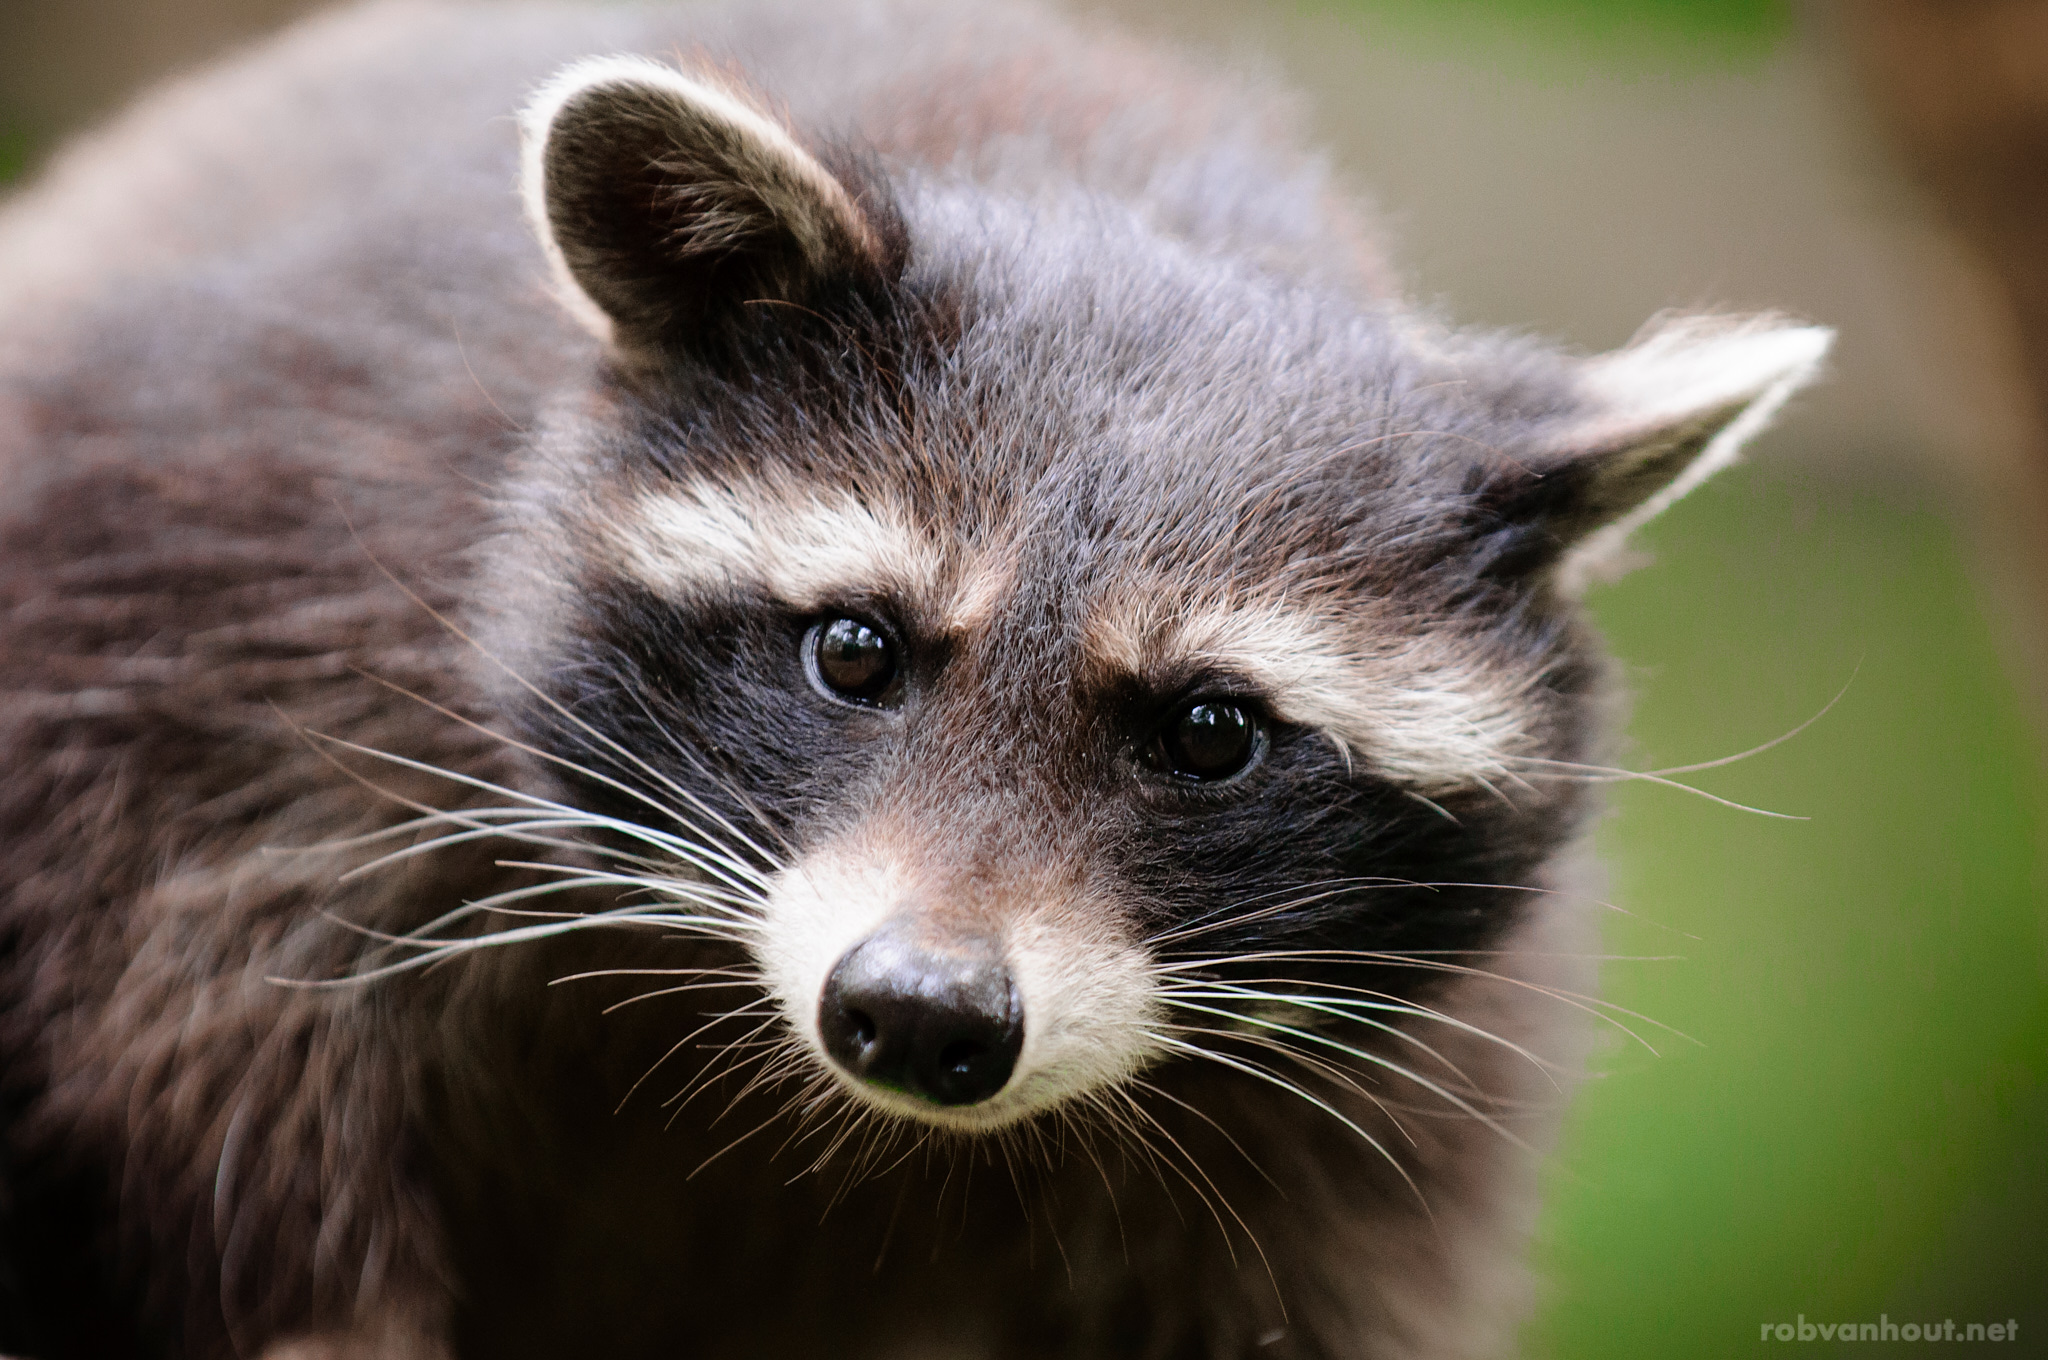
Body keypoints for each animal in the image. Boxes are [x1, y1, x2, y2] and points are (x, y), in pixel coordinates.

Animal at [0, 1, 1829, 1357]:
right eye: (855, 650)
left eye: (1211, 732)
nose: (923, 1012)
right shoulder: (230, 628)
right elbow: (219, 1102)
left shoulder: (1383, 1113)